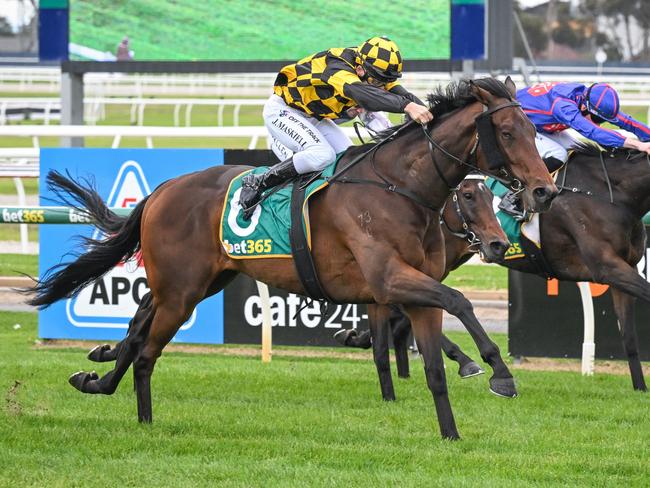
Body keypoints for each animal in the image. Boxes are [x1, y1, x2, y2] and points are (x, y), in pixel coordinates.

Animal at [26, 78, 552, 440]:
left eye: (533, 129)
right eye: (508, 131)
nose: (543, 191)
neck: (397, 188)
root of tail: (162, 190)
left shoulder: (412, 290)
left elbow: (434, 367)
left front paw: (451, 433)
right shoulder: (389, 280)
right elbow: (460, 301)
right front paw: (500, 373)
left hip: (195, 284)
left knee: (137, 330)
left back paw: (97, 379)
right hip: (180, 293)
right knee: (146, 351)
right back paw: (143, 419)